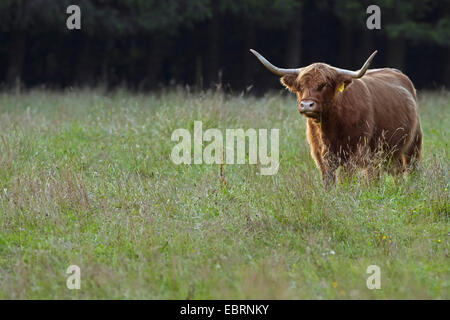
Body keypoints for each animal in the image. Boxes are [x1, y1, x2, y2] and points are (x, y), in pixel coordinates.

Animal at [250, 49, 422, 185]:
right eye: (300, 86)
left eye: (324, 85)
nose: (306, 105)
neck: (329, 128)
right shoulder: (321, 156)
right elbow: (328, 181)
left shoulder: (353, 154)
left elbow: (347, 179)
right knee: (392, 172)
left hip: (413, 144)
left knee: (410, 169)